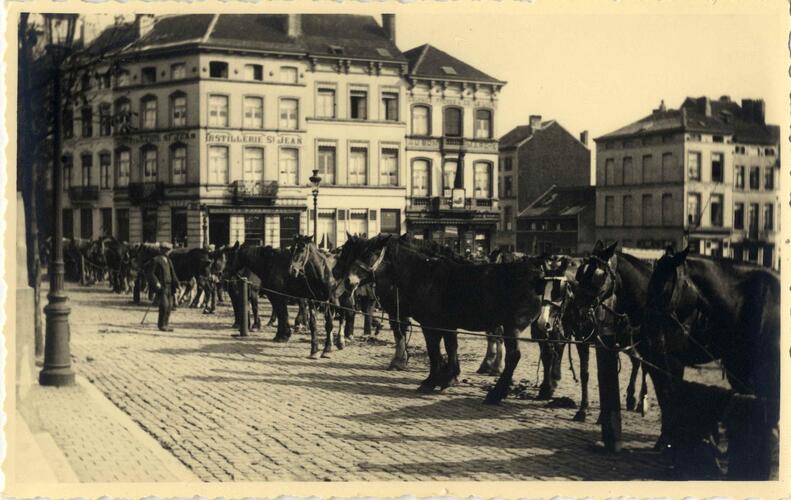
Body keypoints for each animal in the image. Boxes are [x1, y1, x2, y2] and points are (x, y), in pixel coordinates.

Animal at [332, 234, 548, 402]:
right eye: (354, 253)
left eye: (370, 254)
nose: (347, 281)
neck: (424, 275)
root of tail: (538, 274)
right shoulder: (447, 325)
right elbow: (451, 348)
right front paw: (449, 377)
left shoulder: (430, 324)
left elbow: (433, 351)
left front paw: (430, 381)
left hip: (512, 327)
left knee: (513, 355)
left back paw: (496, 391)